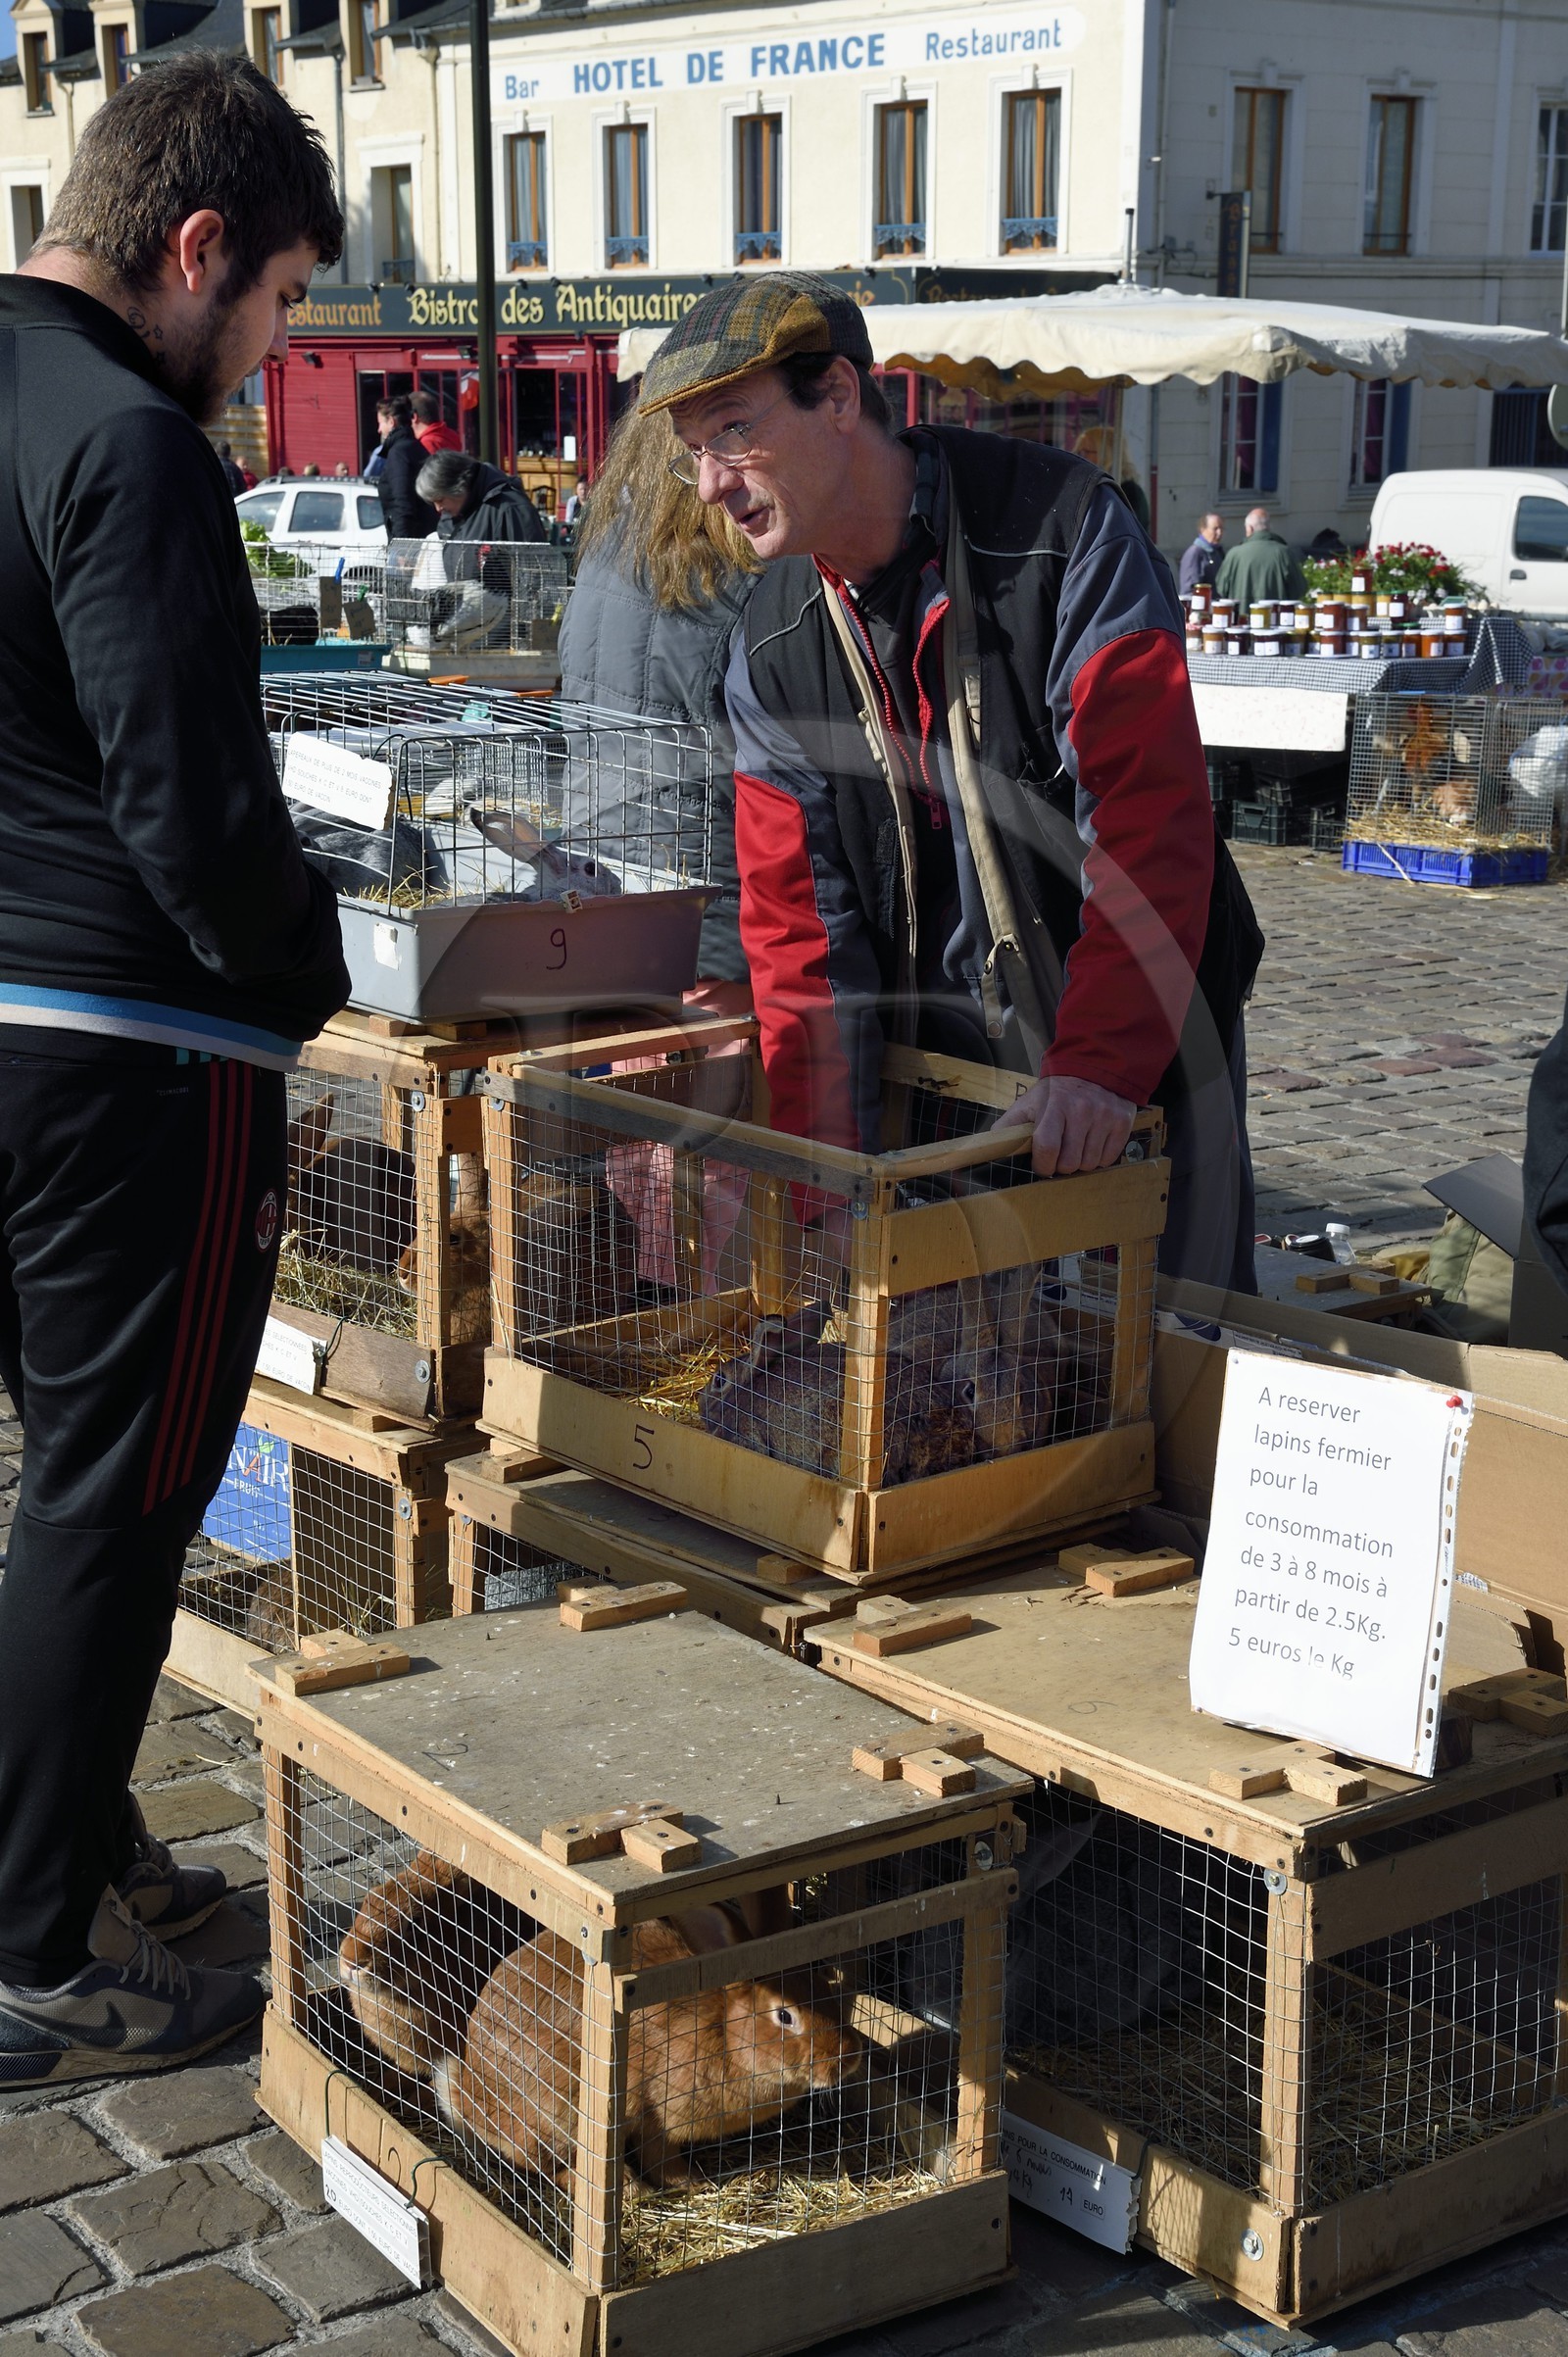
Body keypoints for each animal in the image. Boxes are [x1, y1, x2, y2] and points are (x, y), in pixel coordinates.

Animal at [433, 1901, 865, 2188]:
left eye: (824, 1984)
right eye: (785, 2016)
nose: (849, 2057)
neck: (725, 2035)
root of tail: (465, 2094)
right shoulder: (654, 2113)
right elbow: (660, 2155)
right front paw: (689, 2183)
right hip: (557, 2113)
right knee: (549, 2165)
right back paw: (627, 2187)